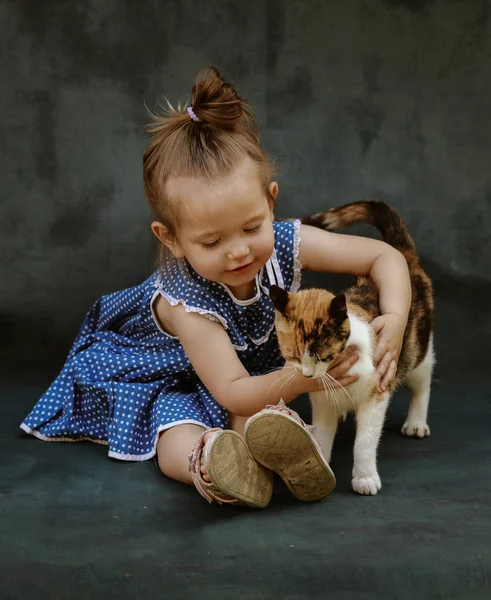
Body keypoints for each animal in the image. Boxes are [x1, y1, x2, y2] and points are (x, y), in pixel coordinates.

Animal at [270, 202, 436, 496]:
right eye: (293, 356)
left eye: (322, 355)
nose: (307, 375)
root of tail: (403, 255)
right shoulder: (321, 401)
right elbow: (322, 433)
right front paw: (320, 463)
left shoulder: (377, 391)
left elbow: (365, 441)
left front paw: (365, 478)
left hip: (418, 349)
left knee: (422, 381)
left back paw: (416, 422)